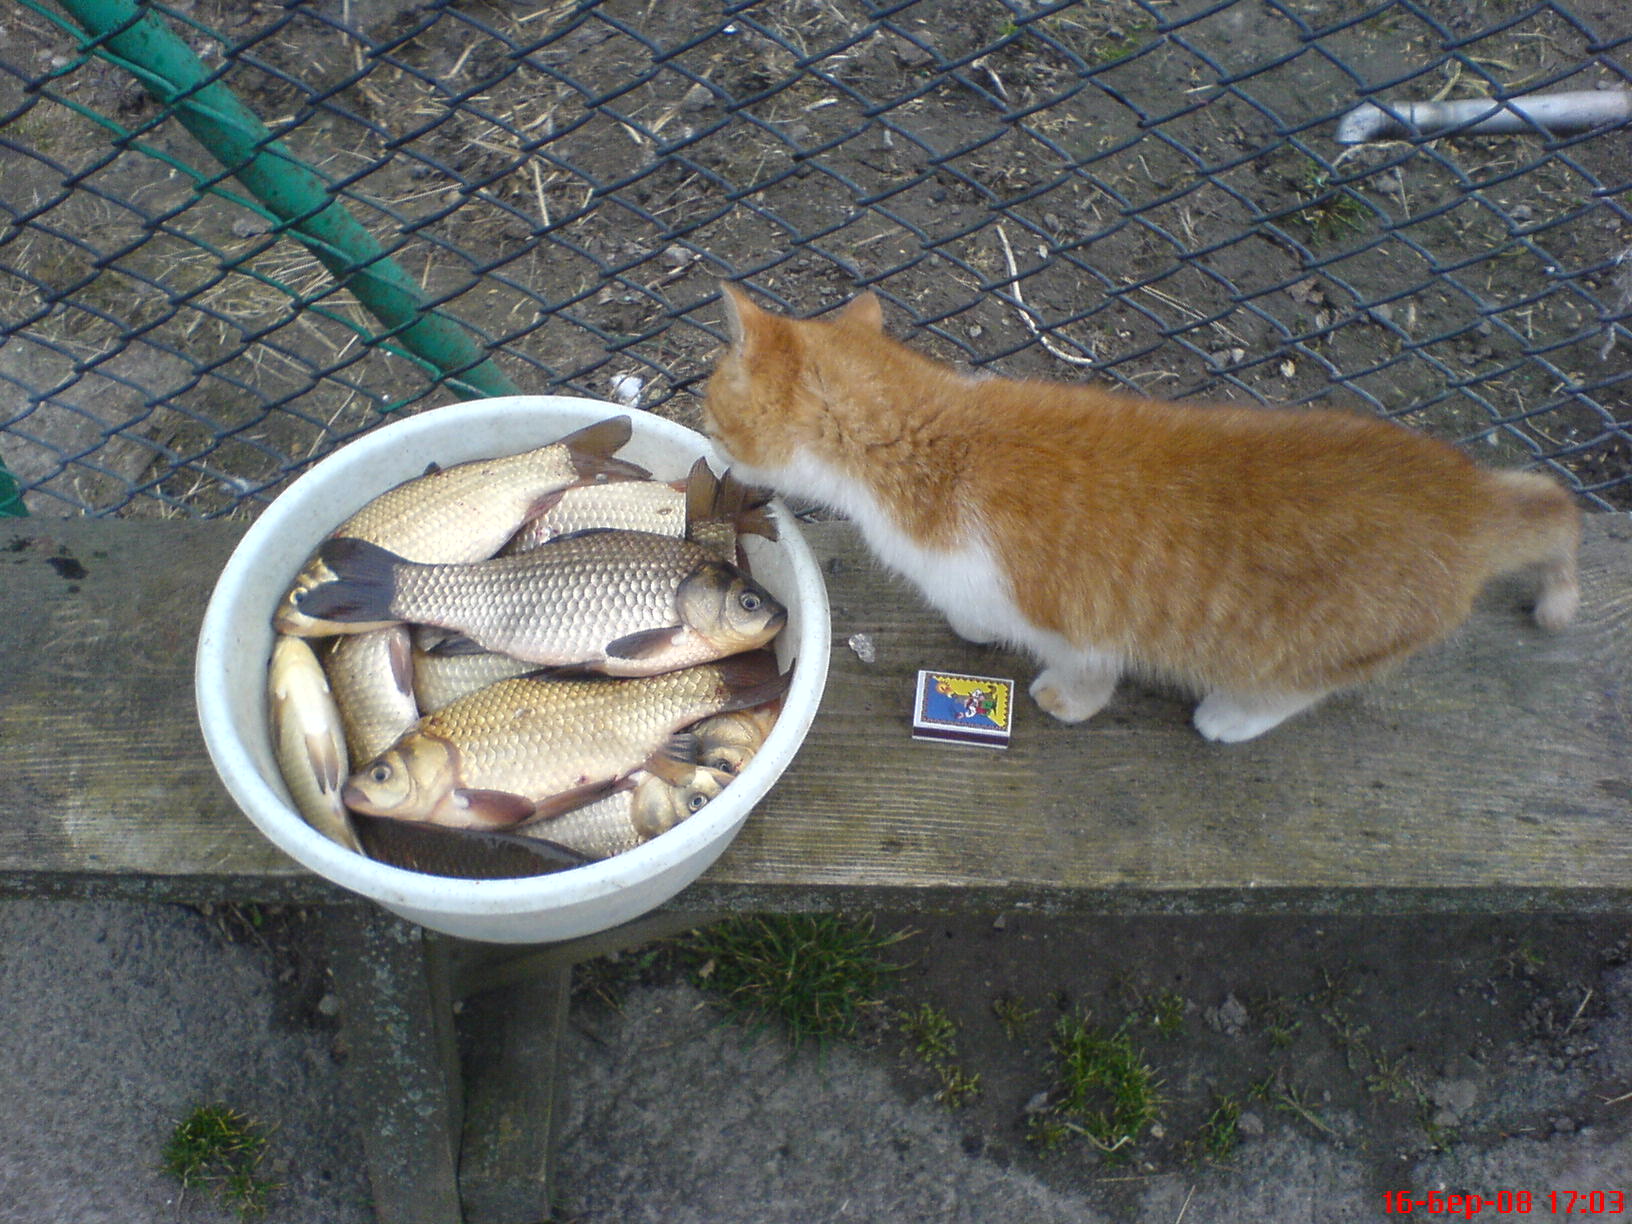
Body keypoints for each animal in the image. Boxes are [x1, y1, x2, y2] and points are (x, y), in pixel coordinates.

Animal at [700, 284, 1582, 742]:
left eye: (710, 413)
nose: (711, 452)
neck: (941, 445)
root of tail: (1471, 498)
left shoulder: (1079, 623)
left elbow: (1087, 671)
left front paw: (1064, 698)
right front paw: (976, 627)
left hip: (1305, 648)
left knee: (1289, 686)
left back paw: (1229, 716)